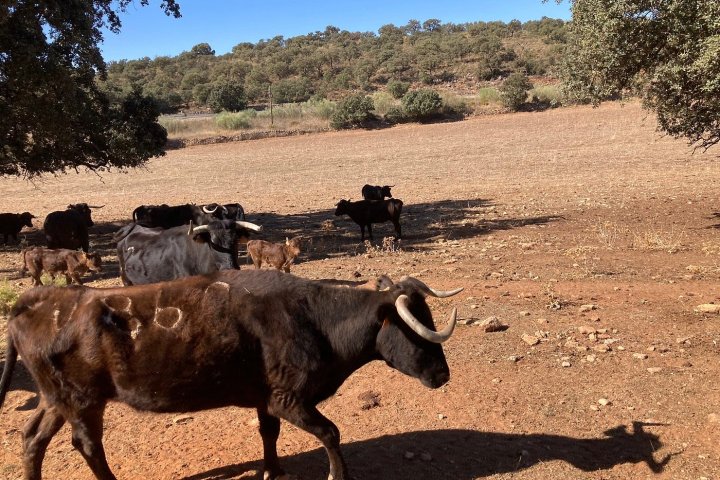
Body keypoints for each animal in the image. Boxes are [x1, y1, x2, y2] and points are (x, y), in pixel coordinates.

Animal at [0, 270, 462, 480]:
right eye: (414, 328)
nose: (442, 375)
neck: (314, 320)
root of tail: (37, 302)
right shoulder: (289, 398)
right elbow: (331, 433)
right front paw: (338, 474)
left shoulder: (266, 399)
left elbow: (269, 433)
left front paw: (273, 471)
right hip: (83, 402)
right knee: (87, 444)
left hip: (56, 399)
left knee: (33, 437)